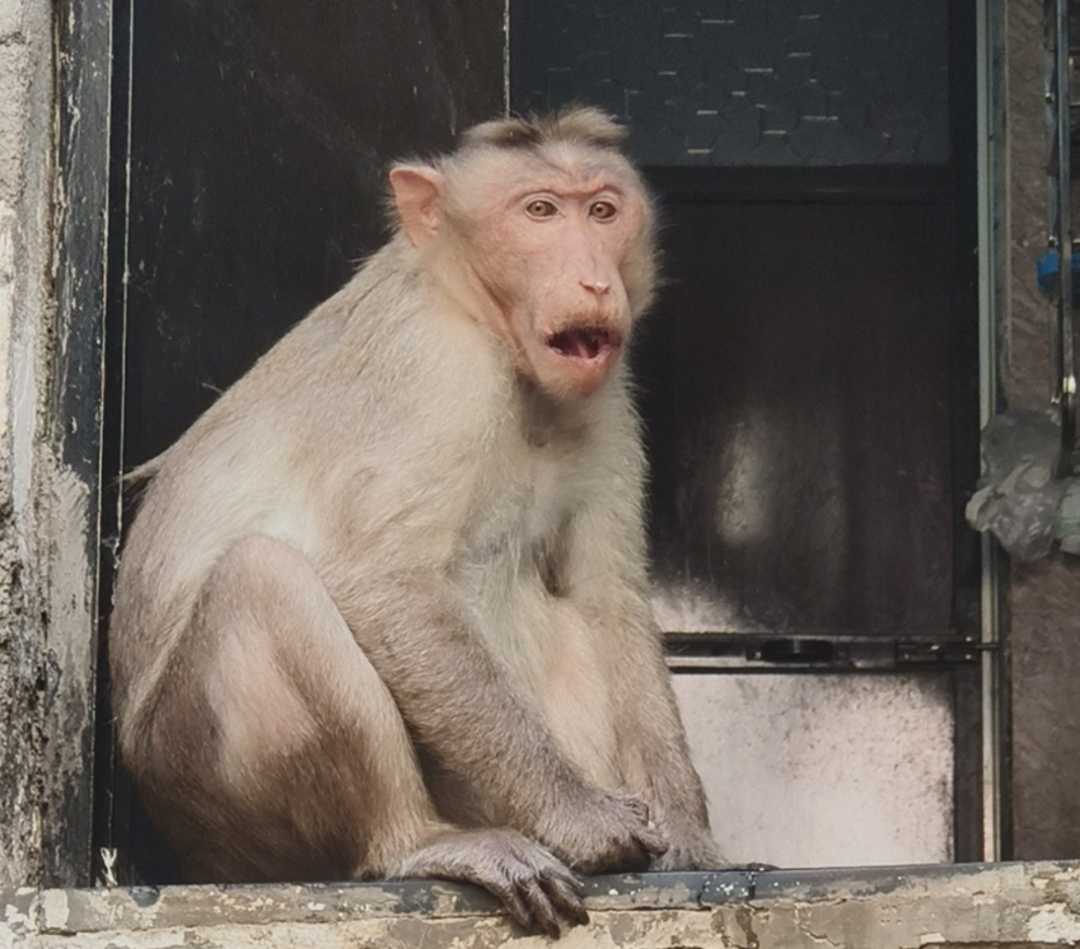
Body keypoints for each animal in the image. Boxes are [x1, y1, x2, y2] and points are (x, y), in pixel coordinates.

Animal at [109, 107, 722, 938]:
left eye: (602, 210)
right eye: (539, 211)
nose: (594, 278)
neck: (482, 319)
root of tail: (196, 859)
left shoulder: (606, 393)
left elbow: (608, 592)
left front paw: (690, 834)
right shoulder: (439, 374)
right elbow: (384, 580)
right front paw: (581, 816)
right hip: (199, 781)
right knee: (263, 578)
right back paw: (417, 840)